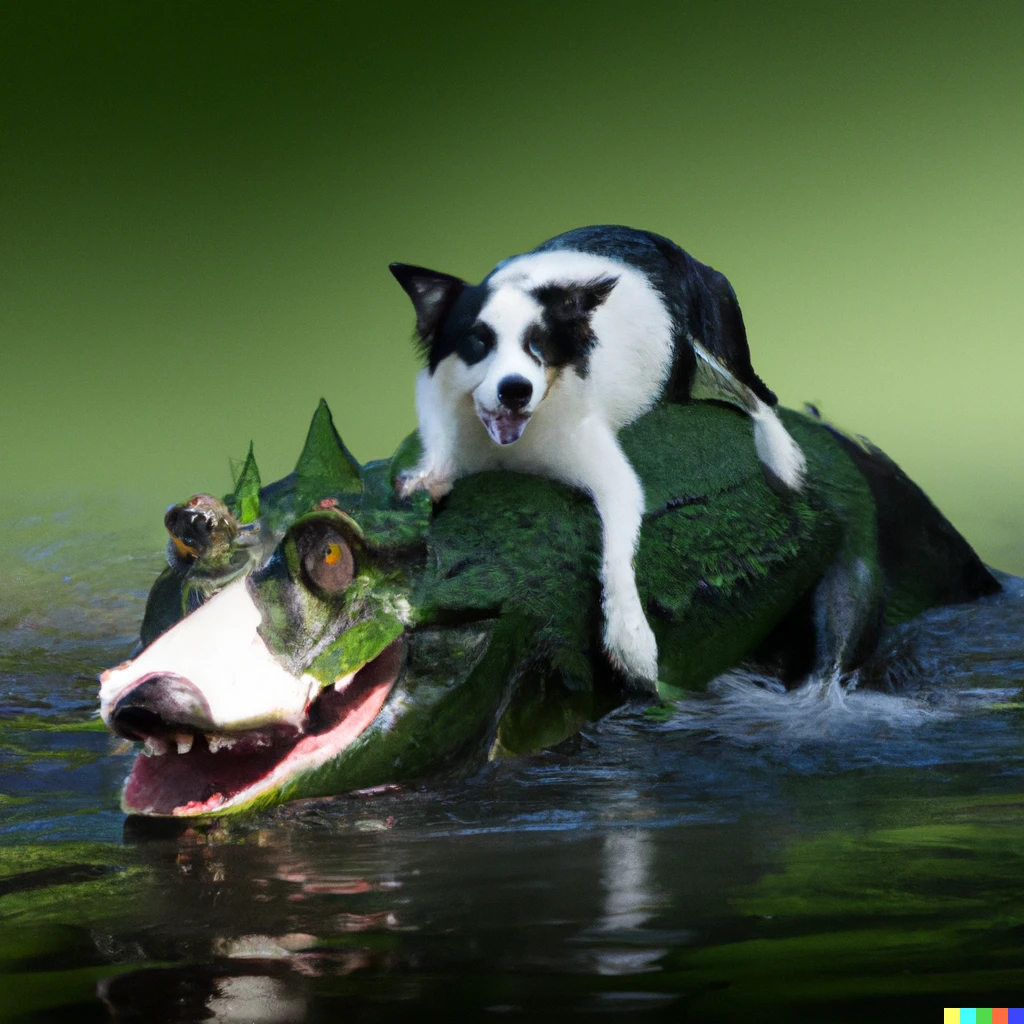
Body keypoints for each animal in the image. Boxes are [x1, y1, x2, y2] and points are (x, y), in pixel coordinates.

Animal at [387, 224, 802, 688]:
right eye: (478, 342)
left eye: (539, 343)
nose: (515, 390)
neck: (511, 447)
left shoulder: (604, 466)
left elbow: (617, 545)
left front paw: (632, 643)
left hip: (717, 332)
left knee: (755, 394)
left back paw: (784, 459)